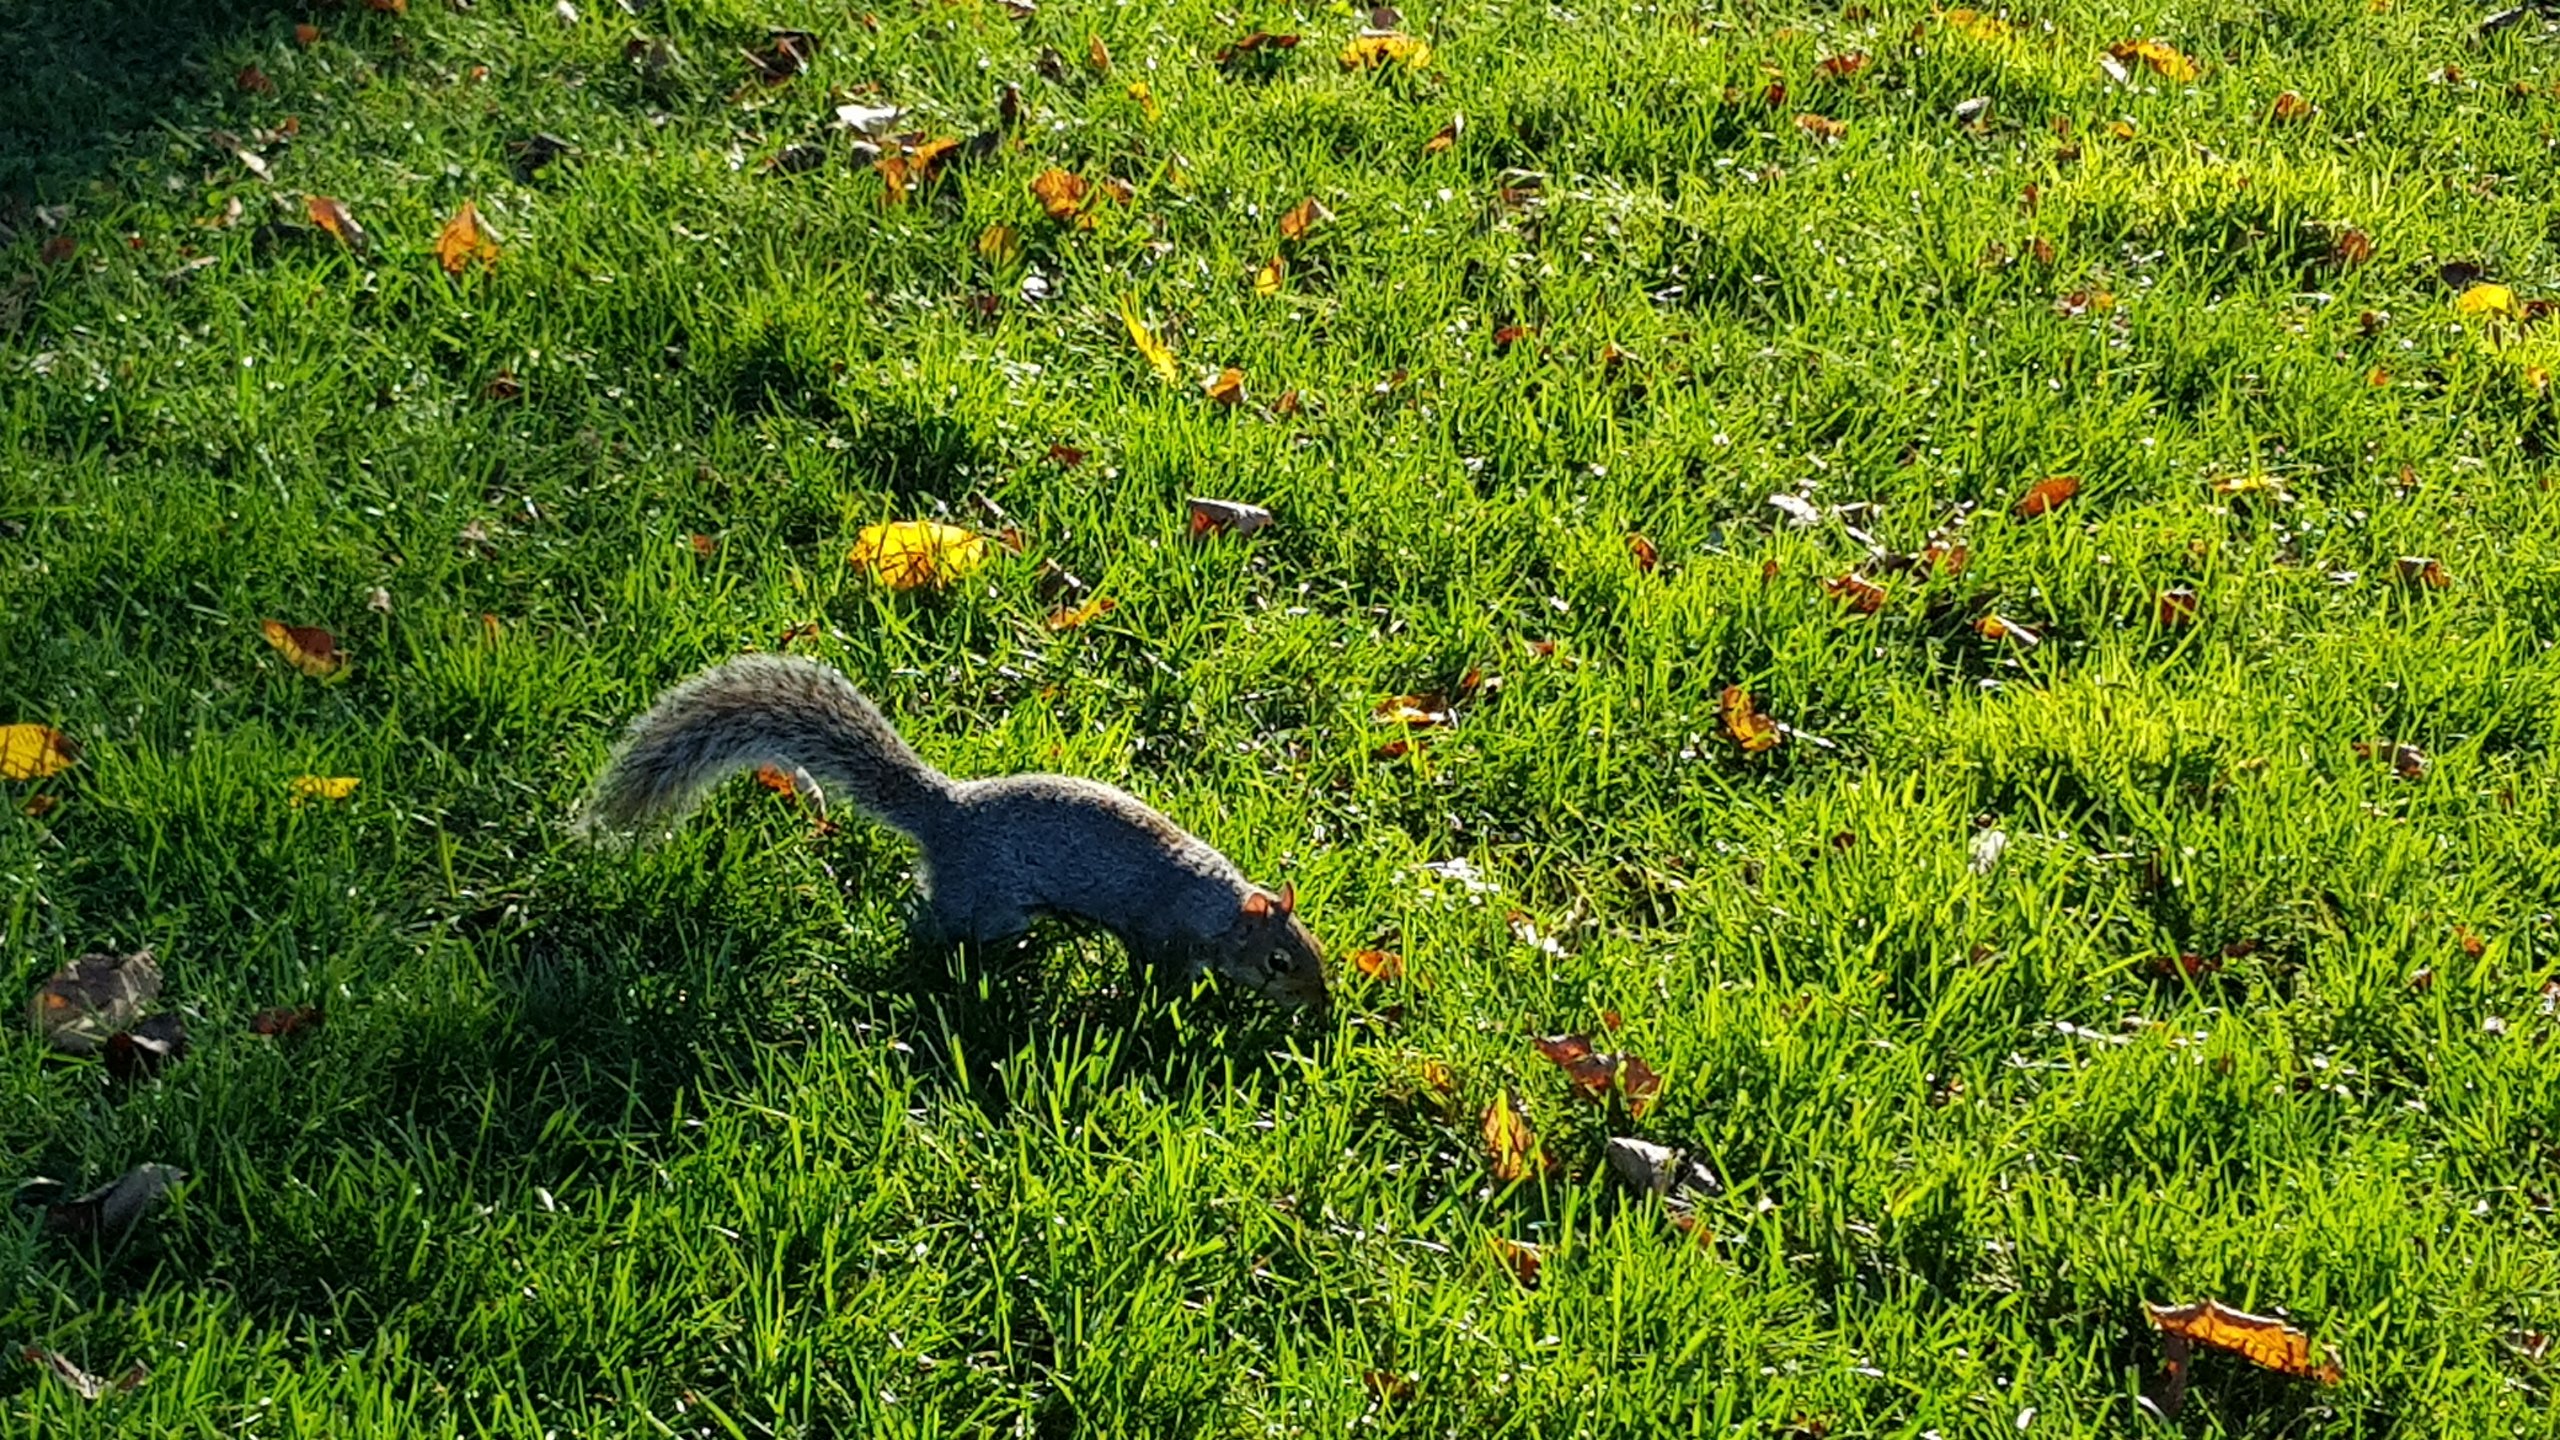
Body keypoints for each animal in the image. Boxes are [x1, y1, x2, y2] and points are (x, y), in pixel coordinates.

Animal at [577, 654, 1330, 1008]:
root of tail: (948, 812)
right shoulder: (1159, 931)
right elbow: (1155, 973)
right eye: (1279, 962)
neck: (1214, 903)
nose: (1321, 1005)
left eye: (1315, 946)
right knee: (935, 925)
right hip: (984, 900)